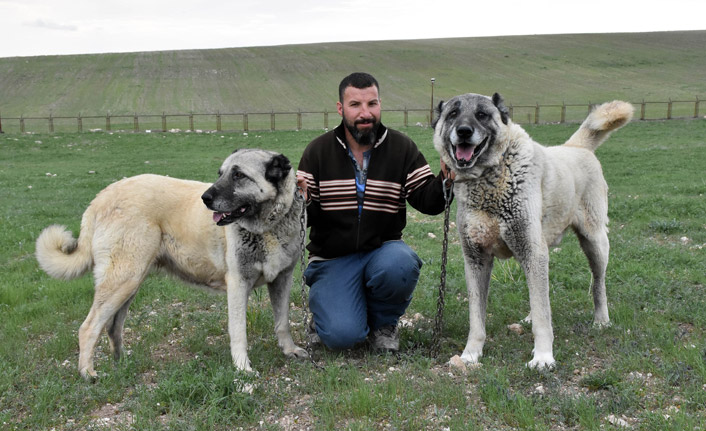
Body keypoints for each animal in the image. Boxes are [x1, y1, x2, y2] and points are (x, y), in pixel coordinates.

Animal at [35, 148, 306, 378]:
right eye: (221, 174)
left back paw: (123, 363)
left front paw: (289, 350)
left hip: (130, 282)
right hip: (123, 279)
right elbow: (239, 332)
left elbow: (282, 322)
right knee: (89, 327)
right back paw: (87, 373)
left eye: (239, 175)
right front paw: (242, 368)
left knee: (113, 326)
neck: (268, 227)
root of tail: (101, 197)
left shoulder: (282, 280)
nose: (205, 198)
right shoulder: (238, 284)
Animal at [432, 93, 628, 368]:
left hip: (595, 242)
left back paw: (601, 320)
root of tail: (576, 147)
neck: (490, 178)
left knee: (598, 283)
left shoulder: (532, 251)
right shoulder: (477, 259)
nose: (463, 131)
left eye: (482, 114)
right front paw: (471, 354)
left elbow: (543, 317)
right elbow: (477, 318)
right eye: (452, 114)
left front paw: (543, 357)